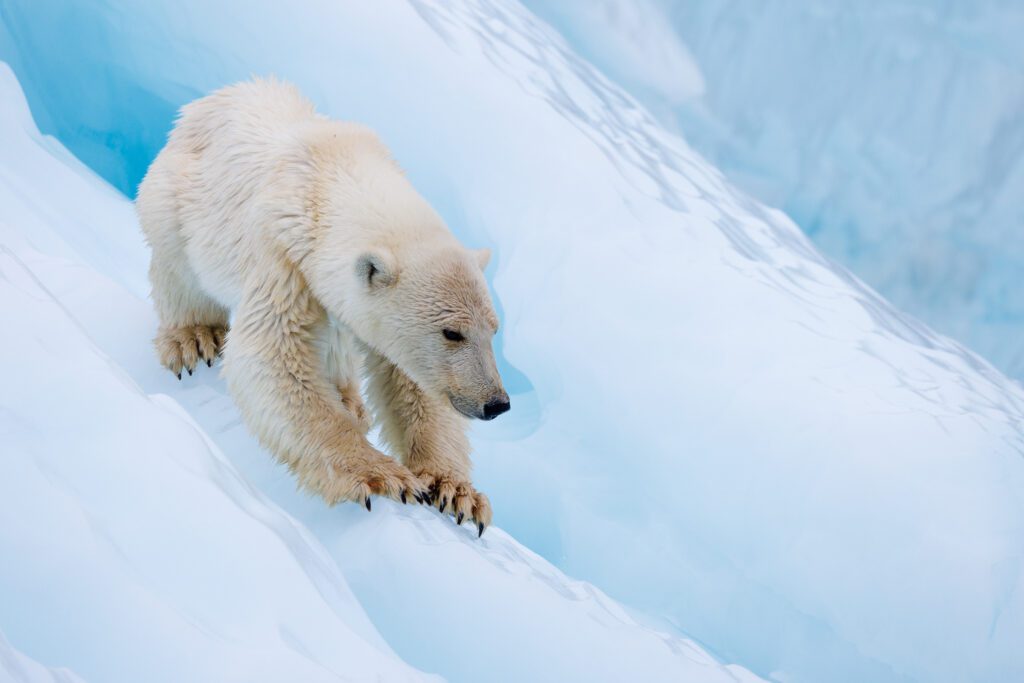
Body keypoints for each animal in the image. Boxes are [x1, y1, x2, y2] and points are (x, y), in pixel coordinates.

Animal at [136, 78, 509, 536]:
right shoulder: (282, 257)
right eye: (452, 332)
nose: (497, 403)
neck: (335, 174)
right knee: (179, 265)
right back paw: (194, 336)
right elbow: (273, 358)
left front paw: (456, 492)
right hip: (179, 199)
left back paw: (350, 398)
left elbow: (410, 379)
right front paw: (383, 476)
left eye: (493, 330)